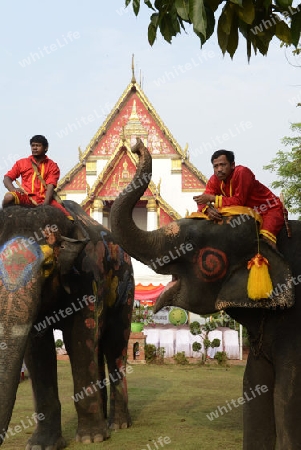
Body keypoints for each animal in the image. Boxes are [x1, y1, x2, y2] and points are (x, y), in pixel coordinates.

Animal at [0, 201, 134, 450]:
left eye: (48, 265)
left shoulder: (86, 277)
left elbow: (79, 340)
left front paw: (92, 438)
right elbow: (37, 350)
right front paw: (41, 445)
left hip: (126, 287)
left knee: (115, 345)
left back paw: (118, 425)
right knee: (98, 347)